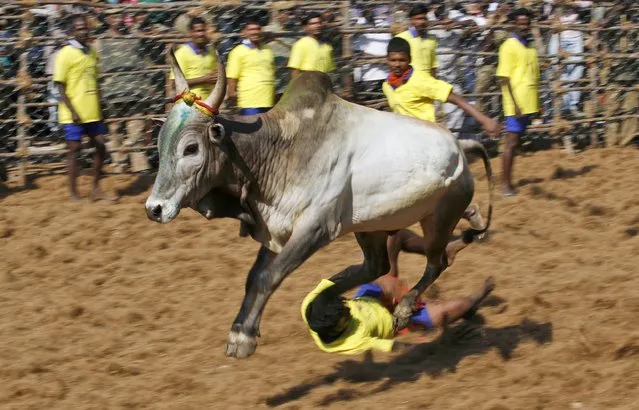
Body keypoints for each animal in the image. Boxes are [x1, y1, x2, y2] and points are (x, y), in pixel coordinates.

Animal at [146, 50, 496, 358]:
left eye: (191, 148)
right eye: (160, 146)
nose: (154, 208)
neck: (277, 151)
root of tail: (460, 146)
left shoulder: (315, 229)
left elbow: (268, 277)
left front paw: (243, 338)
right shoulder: (275, 231)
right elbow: (254, 278)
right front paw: (240, 332)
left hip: (438, 219)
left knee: (436, 262)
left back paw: (405, 308)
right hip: (371, 226)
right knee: (378, 266)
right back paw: (328, 300)